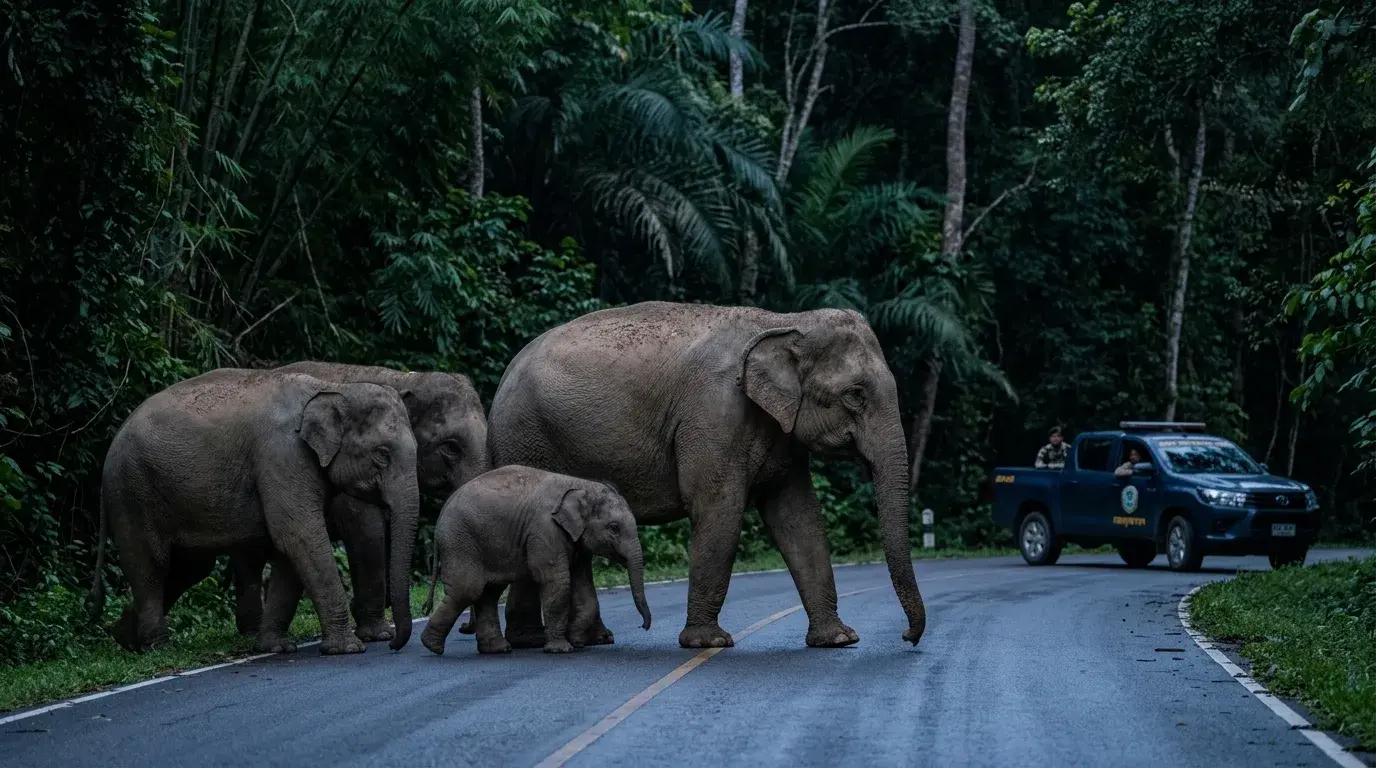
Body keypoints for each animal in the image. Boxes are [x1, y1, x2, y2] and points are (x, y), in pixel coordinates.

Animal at [85, 368, 421, 655]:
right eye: (382, 455)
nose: (394, 644)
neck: (332, 388)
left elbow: (291, 548)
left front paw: (275, 647)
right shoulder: (281, 455)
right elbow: (300, 536)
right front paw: (347, 649)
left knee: (189, 568)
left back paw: (125, 638)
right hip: (132, 492)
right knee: (152, 565)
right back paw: (159, 647)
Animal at [229, 362, 489, 643]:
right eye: (451, 447)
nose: (465, 628)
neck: (404, 379)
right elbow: (368, 530)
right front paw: (379, 634)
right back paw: (252, 632)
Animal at [419, 465, 650, 656]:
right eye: (614, 528)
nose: (644, 626)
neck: (581, 485)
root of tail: (444, 507)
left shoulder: (578, 540)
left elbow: (584, 586)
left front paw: (576, 640)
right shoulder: (544, 529)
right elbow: (557, 582)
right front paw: (562, 649)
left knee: (489, 592)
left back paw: (497, 649)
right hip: (460, 541)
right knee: (468, 589)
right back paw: (432, 646)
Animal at [486, 301, 926, 650]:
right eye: (855, 395)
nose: (907, 637)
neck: (784, 321)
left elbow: (797, 516)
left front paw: (838, 639)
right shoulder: (714, 414)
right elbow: (719, 509)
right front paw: (708, 642)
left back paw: (584, 640)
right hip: (525, 439)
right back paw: (531, 641)